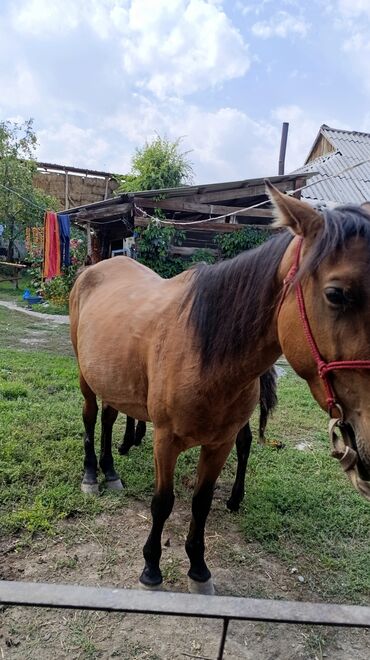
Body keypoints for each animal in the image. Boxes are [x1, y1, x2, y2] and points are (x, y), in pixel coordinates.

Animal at [69, 184, 370, 592]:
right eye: (336, 294)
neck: (205, 352)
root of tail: (96, 267)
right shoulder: (165, 440)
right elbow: (162, 502)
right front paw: (151, 568)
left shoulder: (220, 443)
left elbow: (201, 502)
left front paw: (198, 568)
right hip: (86, 378)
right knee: (89, 418)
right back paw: (91, 476)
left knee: (108, 418)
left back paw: (111, 471)